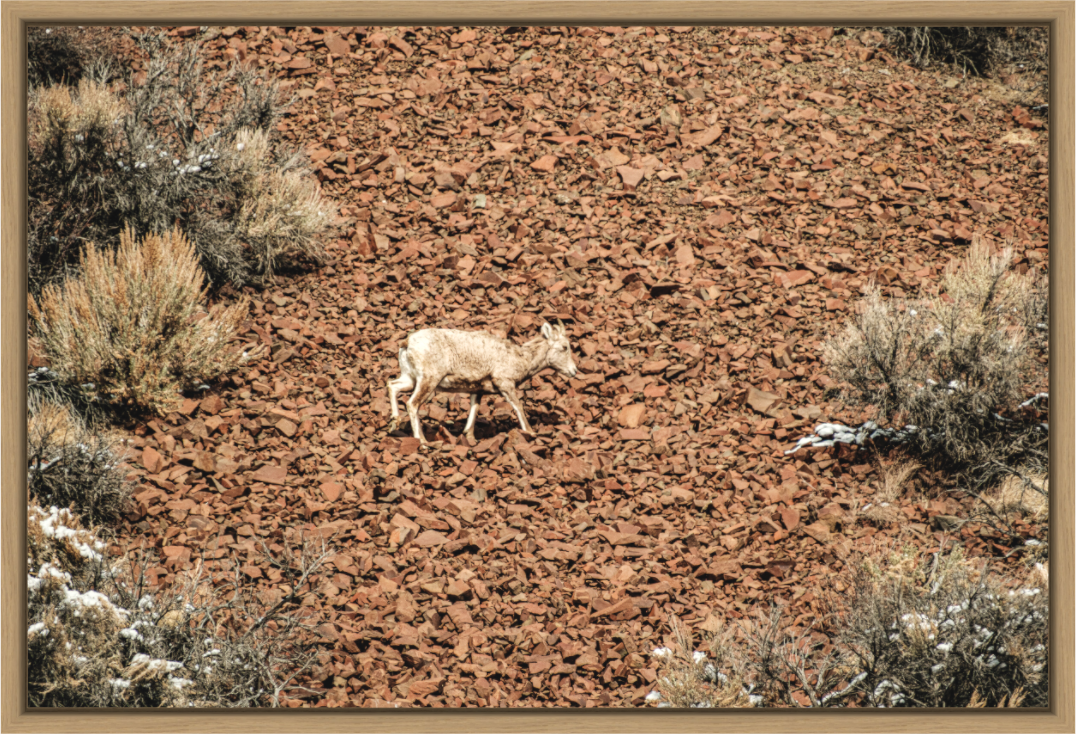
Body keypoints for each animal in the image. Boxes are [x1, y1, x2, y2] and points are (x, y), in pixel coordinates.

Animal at [386, 322, 578, 444]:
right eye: (564, 347)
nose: (574, 371)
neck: (521, 358)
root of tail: (408, 342)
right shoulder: (505, 384)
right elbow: (518, 407)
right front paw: (530, 432)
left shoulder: (477, 391)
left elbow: (474, 409)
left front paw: (469, 437)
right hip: (429, 380)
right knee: (412, 404)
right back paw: (422, 441)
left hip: (410, 379)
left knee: (392, 386)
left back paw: (395, 421)